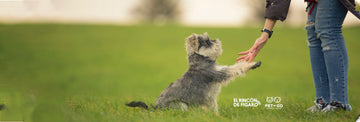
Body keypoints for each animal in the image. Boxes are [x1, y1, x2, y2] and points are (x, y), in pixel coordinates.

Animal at [125, 32, 260, 112]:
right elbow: (236, 68)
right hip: (180, 105)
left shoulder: (211, 98)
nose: (216, 40)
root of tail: (155, 108)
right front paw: (252, 64)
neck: (202, 60)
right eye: (207, 42)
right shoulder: (220, 73)